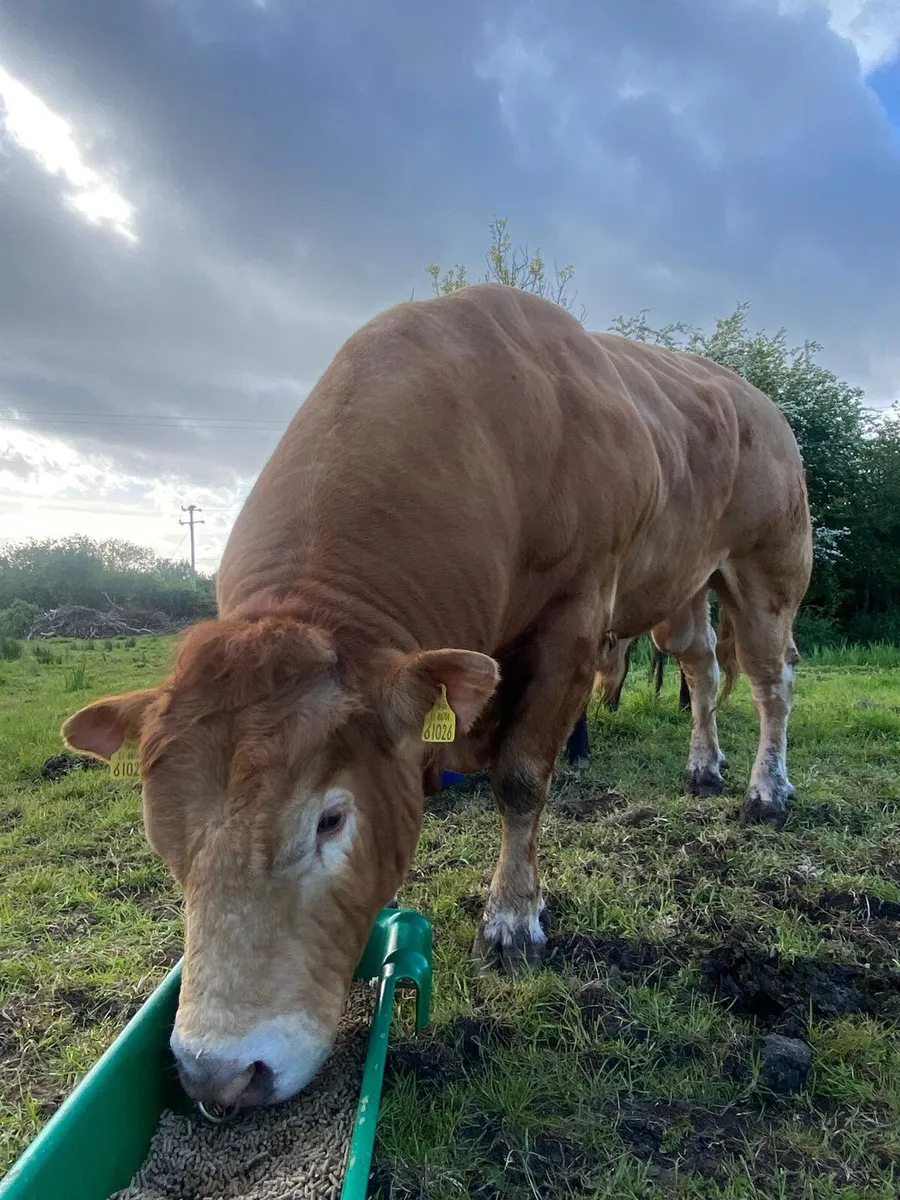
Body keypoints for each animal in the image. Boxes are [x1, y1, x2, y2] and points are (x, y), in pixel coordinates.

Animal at [61, 283, 812, 1113]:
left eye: (330, 820)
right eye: (161, 833)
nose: (217, 1072)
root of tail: (752, 395)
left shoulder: (575, 622)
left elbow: (520, 781)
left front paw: (512, 921)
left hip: (771, 564)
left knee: (772, 680)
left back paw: (768, 790)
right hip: (682, 590)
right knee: (705, 668)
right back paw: (705, 766)